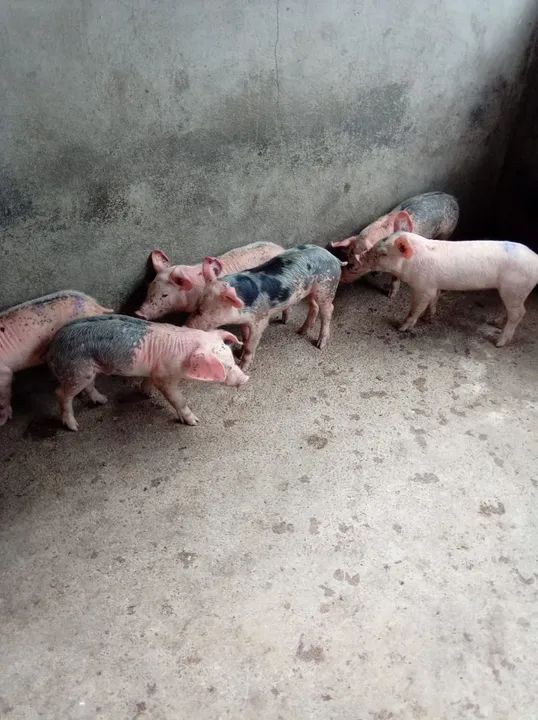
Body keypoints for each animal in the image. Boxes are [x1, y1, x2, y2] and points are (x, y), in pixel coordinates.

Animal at [46, 314, 248, 431]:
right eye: (225, 367)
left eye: (232, 359)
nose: (246, 378)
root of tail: (53, 345)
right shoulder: (165, 377)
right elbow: (178, 399)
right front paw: (194, 422)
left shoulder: (155, 370)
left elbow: (148, 382)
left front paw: (145, 393)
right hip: (76, 370)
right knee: (60, 393)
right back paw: (74, 427)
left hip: (87, 370)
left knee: (88, 386)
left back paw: (103, 400)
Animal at [186, 244, 342, 370]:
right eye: (196, 306)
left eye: (201, 310)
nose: (186, 327)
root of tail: (334, 258)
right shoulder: (244, 321)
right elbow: (245, 336)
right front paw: (240, 352)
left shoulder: (260, 319)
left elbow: (251, 344)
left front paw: (243, 368)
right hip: (311, 290)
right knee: (314, 306)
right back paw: (300, 331)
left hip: (327, 287)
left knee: (328, 310)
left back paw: (320, 344)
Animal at [331, 191, 459, 296]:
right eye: (348, 257)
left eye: (354, 266)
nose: (341, 278)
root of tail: (452, 198)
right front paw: (376, 275)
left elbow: (395, 279)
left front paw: (390, 296)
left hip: (448, 231)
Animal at [354, 221, 538, 346]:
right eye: (378, 242)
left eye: (384, 253)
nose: (360, 256)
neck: (412, 262)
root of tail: (535, 258)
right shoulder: (434, 285)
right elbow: (434, 299)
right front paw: (428, 318)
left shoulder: (423, 286)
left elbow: (416, 308)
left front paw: (401, 327)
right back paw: (495, 323)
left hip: (514, 288)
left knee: (519, 313)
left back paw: (499, 342)